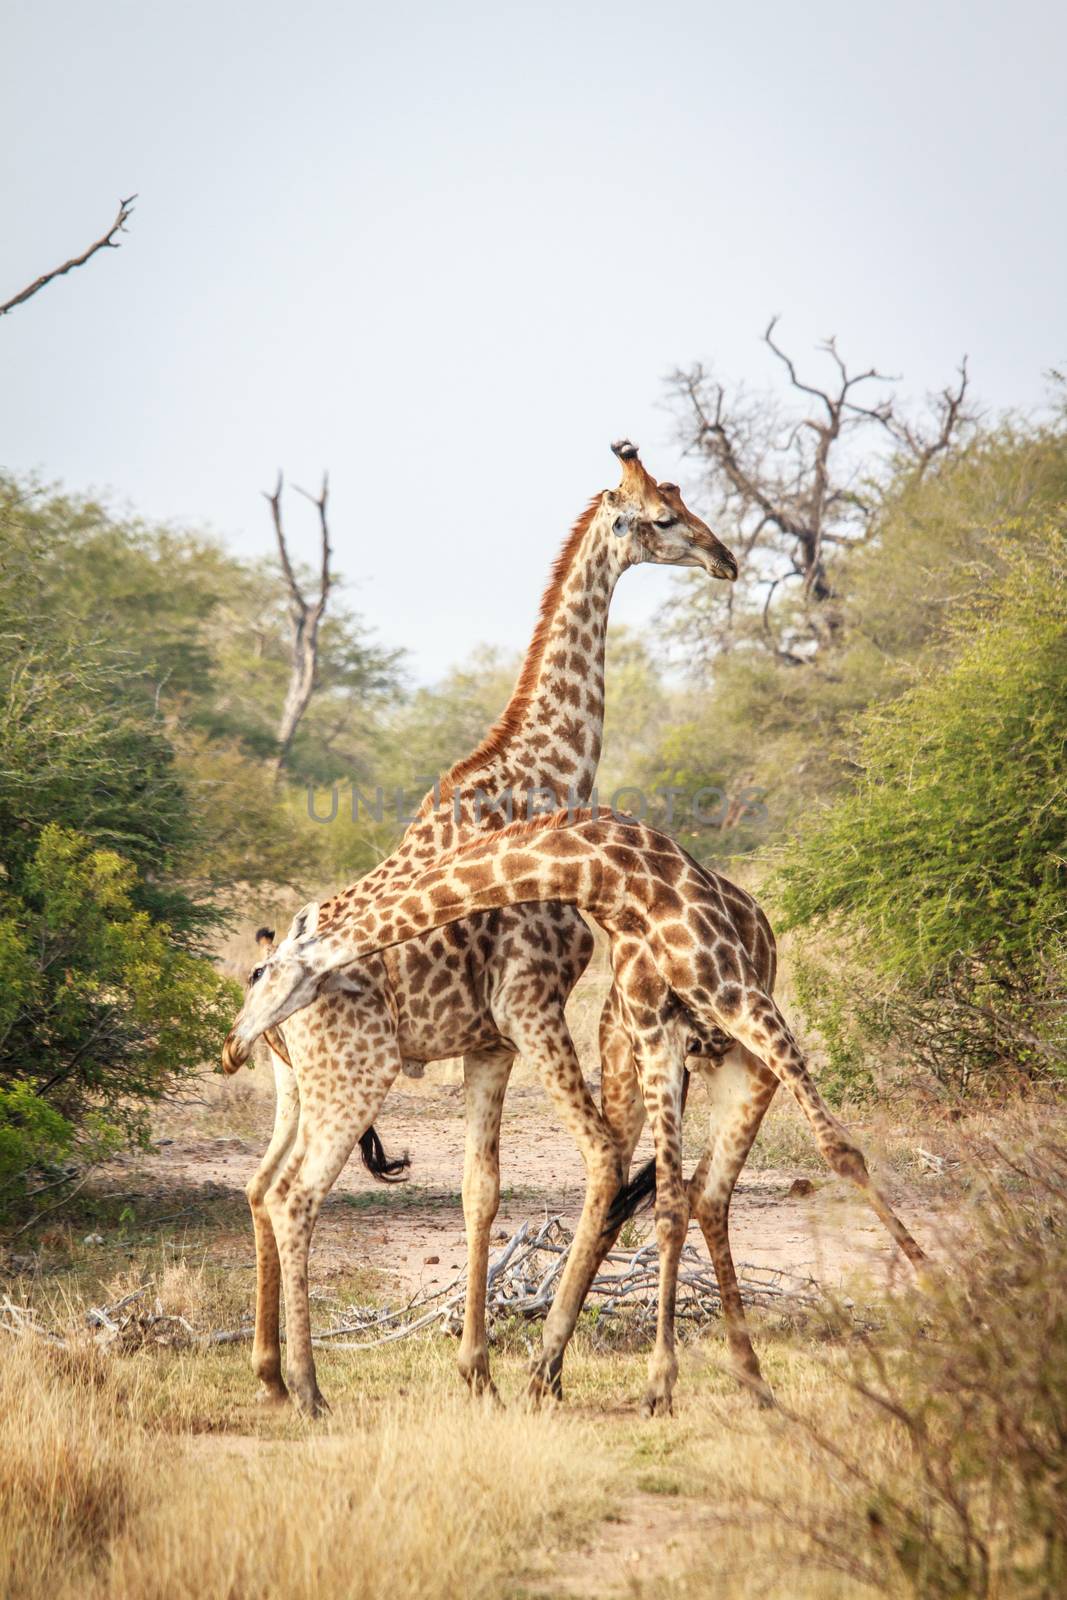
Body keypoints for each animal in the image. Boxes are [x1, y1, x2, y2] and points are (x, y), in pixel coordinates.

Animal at [227, 812, 927, 1414]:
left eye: (264, 972)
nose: (235, 1044)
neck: (615, 876)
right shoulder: (650, 1031)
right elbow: (660, 1205)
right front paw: (655, 1383)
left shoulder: (739, 1000)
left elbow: (841, 1151)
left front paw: (941, 1291)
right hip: (642, 1056)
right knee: (675, 1191)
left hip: (737, 1057)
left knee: (698, 1189)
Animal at [231, 438, 742, 1414]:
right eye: (663, 517)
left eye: (686, 501)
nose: (725, 559)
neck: (547, 774)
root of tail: (262, 1003)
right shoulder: (530, 1003)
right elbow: (600, 1159)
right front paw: (541, 1367)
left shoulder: (489, 1042)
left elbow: (481, 1191)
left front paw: (478, 1371)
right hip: (355, 1075)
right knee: (294, 1198)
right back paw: (311, 1390)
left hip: (296, 1087)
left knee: (259, 1185)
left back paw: (271, 1373)